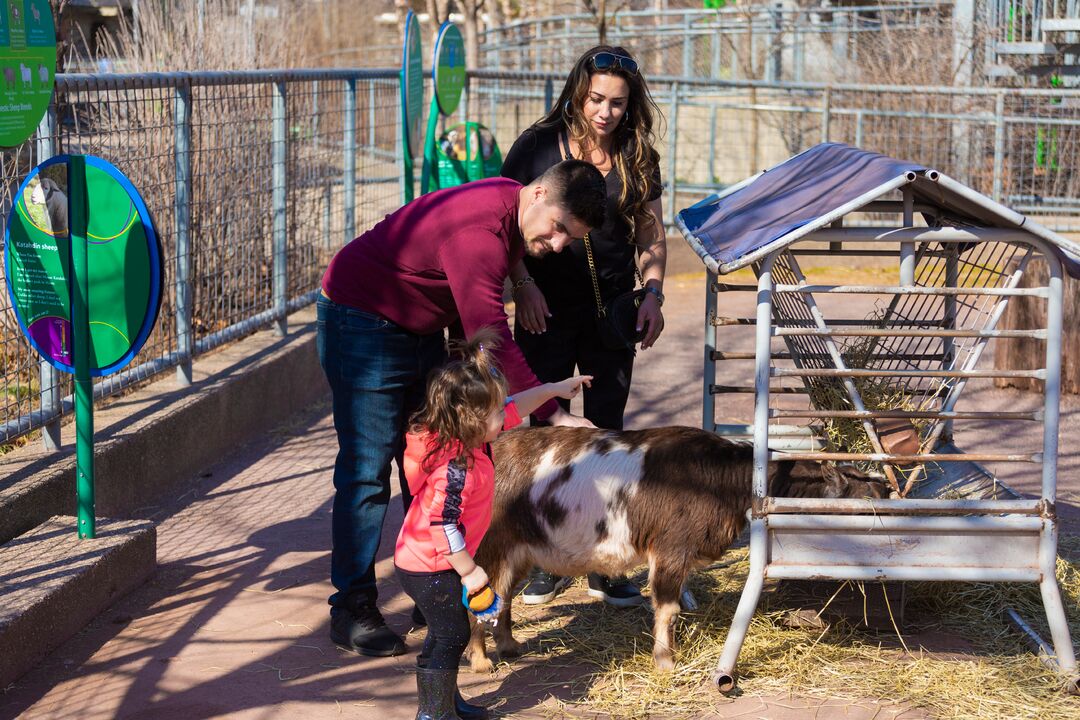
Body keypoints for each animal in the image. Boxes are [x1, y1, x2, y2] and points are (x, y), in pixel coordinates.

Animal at [468, 425, 889, 673]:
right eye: (861, 504)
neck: (723, 478)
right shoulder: (670, 547)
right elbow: (668, 608)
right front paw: (666, 661)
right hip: (489, 546)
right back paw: (480, 663)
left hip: (517, 551)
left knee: (503, 596)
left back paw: (508, 646)